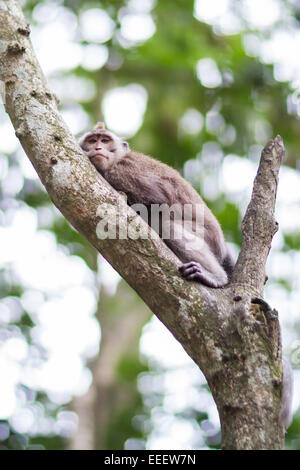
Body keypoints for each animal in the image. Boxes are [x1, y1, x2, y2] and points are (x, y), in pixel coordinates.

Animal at [79, 123, 234, 288]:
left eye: (105, 140)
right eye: (92, 141)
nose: (98, 148)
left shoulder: (122, 172)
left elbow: (158, 202)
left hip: (207, 235)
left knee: (167, 226)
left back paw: (216, 277)